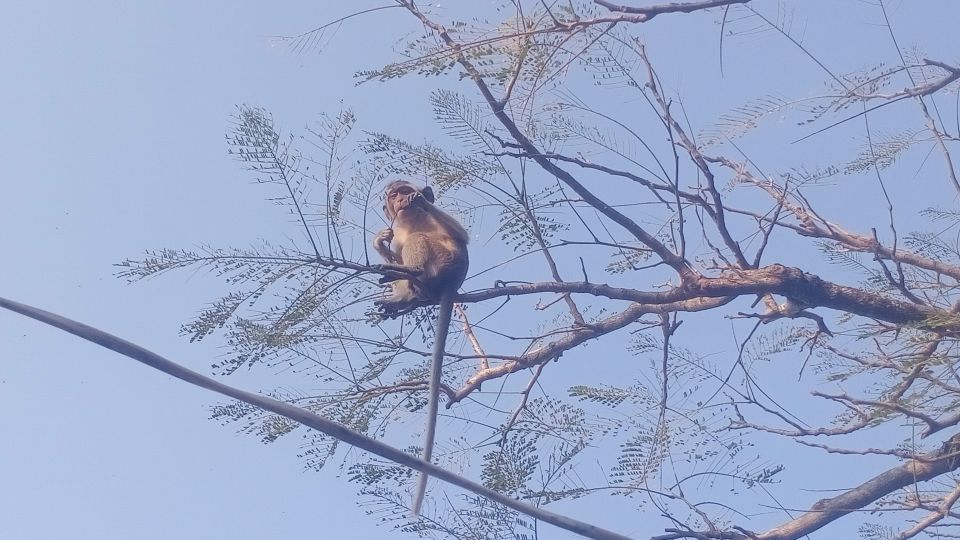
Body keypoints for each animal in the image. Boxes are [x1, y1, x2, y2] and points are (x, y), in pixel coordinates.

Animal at [372, 180, 468, 516]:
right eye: (393, 195)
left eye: (403, 189)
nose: (403, 199)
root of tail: (450, 286)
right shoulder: (397, 226)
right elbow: (393, 245)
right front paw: (379, 241)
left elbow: (461, 236)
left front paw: (422, 198)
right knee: (404, 260)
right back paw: (403, 294)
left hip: (445, 265)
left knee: (420, 241)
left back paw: (411, 276)